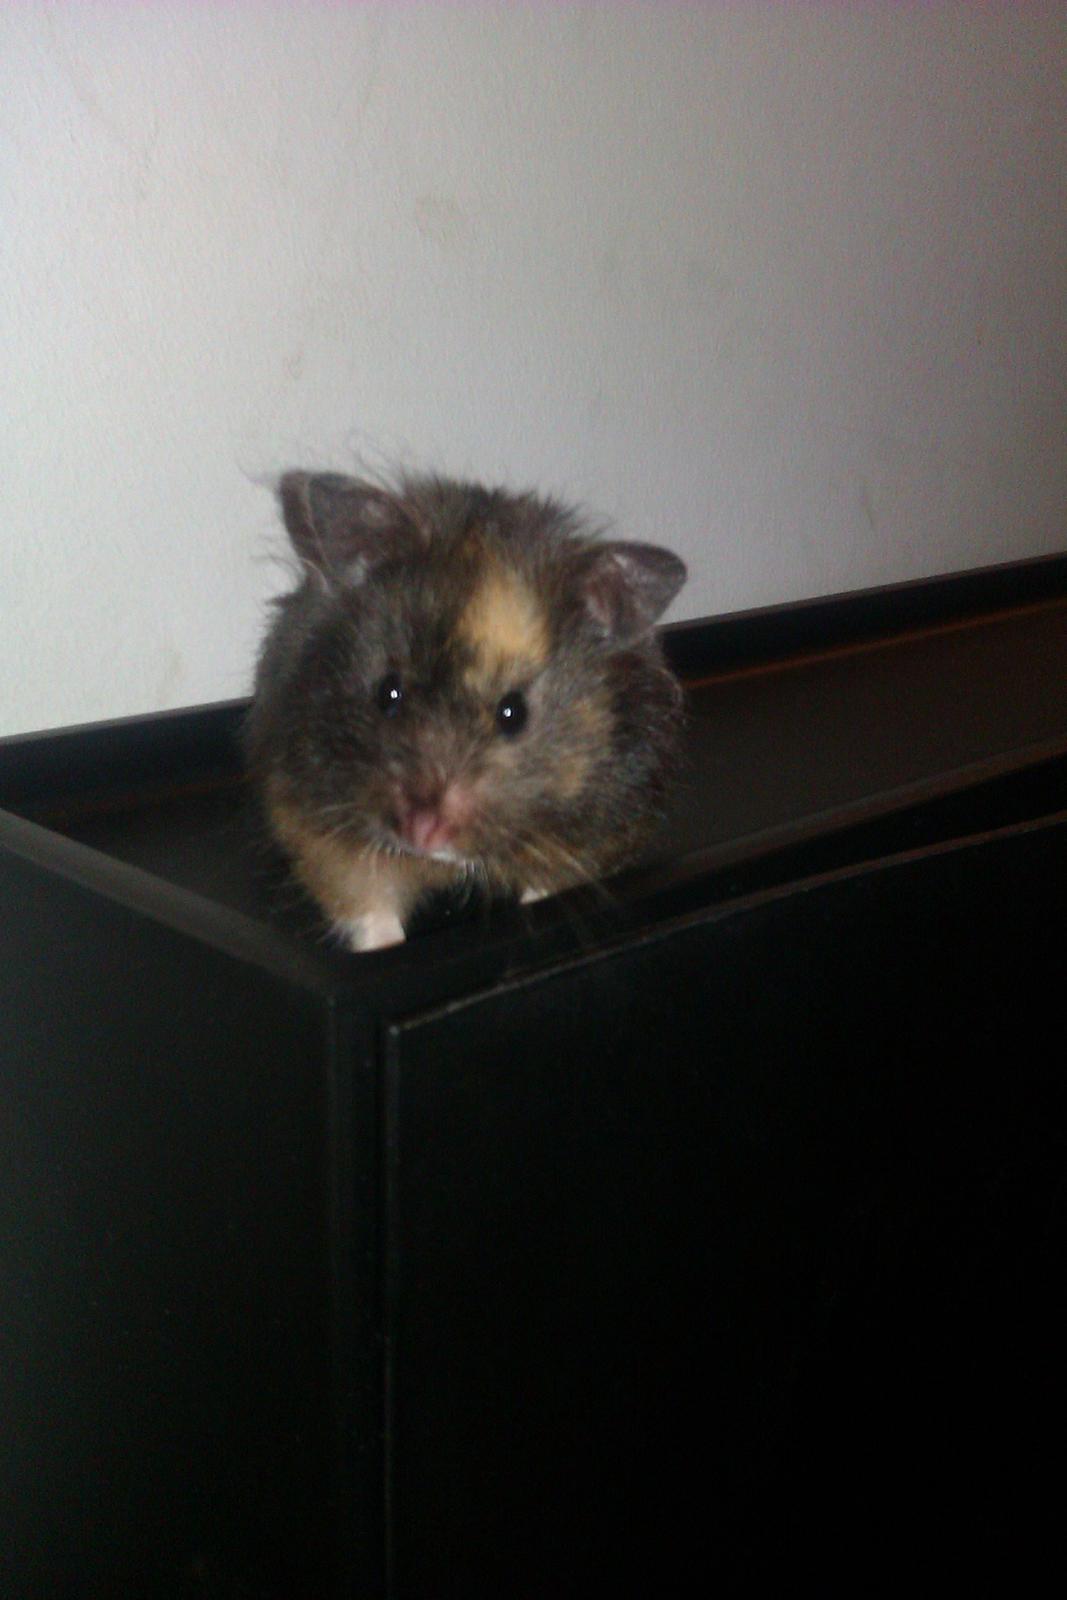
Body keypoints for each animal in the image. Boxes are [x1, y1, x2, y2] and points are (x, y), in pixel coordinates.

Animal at [245, 471, 687, 951]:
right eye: (388, 693)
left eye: (513, 713)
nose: (422, 834)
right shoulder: (314, 821)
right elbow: (366, 904)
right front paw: (387, 943)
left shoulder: (603, 828)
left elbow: (551, 882)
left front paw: (534, 898)